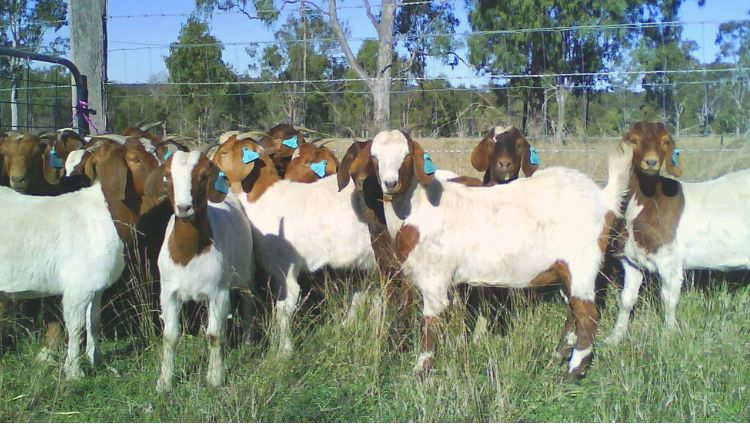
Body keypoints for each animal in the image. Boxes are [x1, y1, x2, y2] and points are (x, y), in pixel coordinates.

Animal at [0, 139, 159, 379]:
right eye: (135, 158)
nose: (167, 178)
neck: (107, 214)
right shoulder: (78, 288)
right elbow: (75, 326)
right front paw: (74, 372)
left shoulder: (96, 286)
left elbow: (93, 321)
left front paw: (95, 359)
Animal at [145, 151, 255, 391]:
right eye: (167, 176)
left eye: (204, 176)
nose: (184, 208)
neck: (188, 255)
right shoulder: (168, 292)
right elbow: (170, 336)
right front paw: (164, 381)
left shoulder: (219, 292)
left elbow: (214, 335)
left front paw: (215, 378)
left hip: (245, 273)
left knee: (248, 303)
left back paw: (248, 340)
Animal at [368, 129, 632, 377]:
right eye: (374, 157)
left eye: (406, 155)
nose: (390, 183)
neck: (418, 206)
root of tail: (603, 198)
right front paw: (458, 350)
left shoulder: (434, 277)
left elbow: (430, 322)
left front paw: (421, 369)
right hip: (565, 269)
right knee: (573, 310)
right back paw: (558, 354)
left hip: (581, 262)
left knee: (588, 313)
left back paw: (573, 371)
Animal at [607, 121, 750, 343]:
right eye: (634, 140)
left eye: (666, 141)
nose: (651, 162)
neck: (648, 202)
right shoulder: (631, 260)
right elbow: (626, 299)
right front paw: (615, 338)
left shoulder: (670, 261)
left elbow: (669, 299)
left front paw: (669, 335)